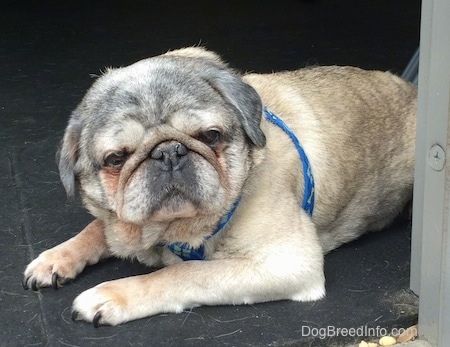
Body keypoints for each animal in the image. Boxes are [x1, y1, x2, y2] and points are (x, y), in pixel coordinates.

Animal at [22, 47, 416, 328]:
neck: (169, 233)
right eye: (116, 159)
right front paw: (57, 257)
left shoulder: (289, 263)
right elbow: (97, 228)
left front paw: (115, 295)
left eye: (210, 136)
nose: (168, 152)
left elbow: (182, 273)